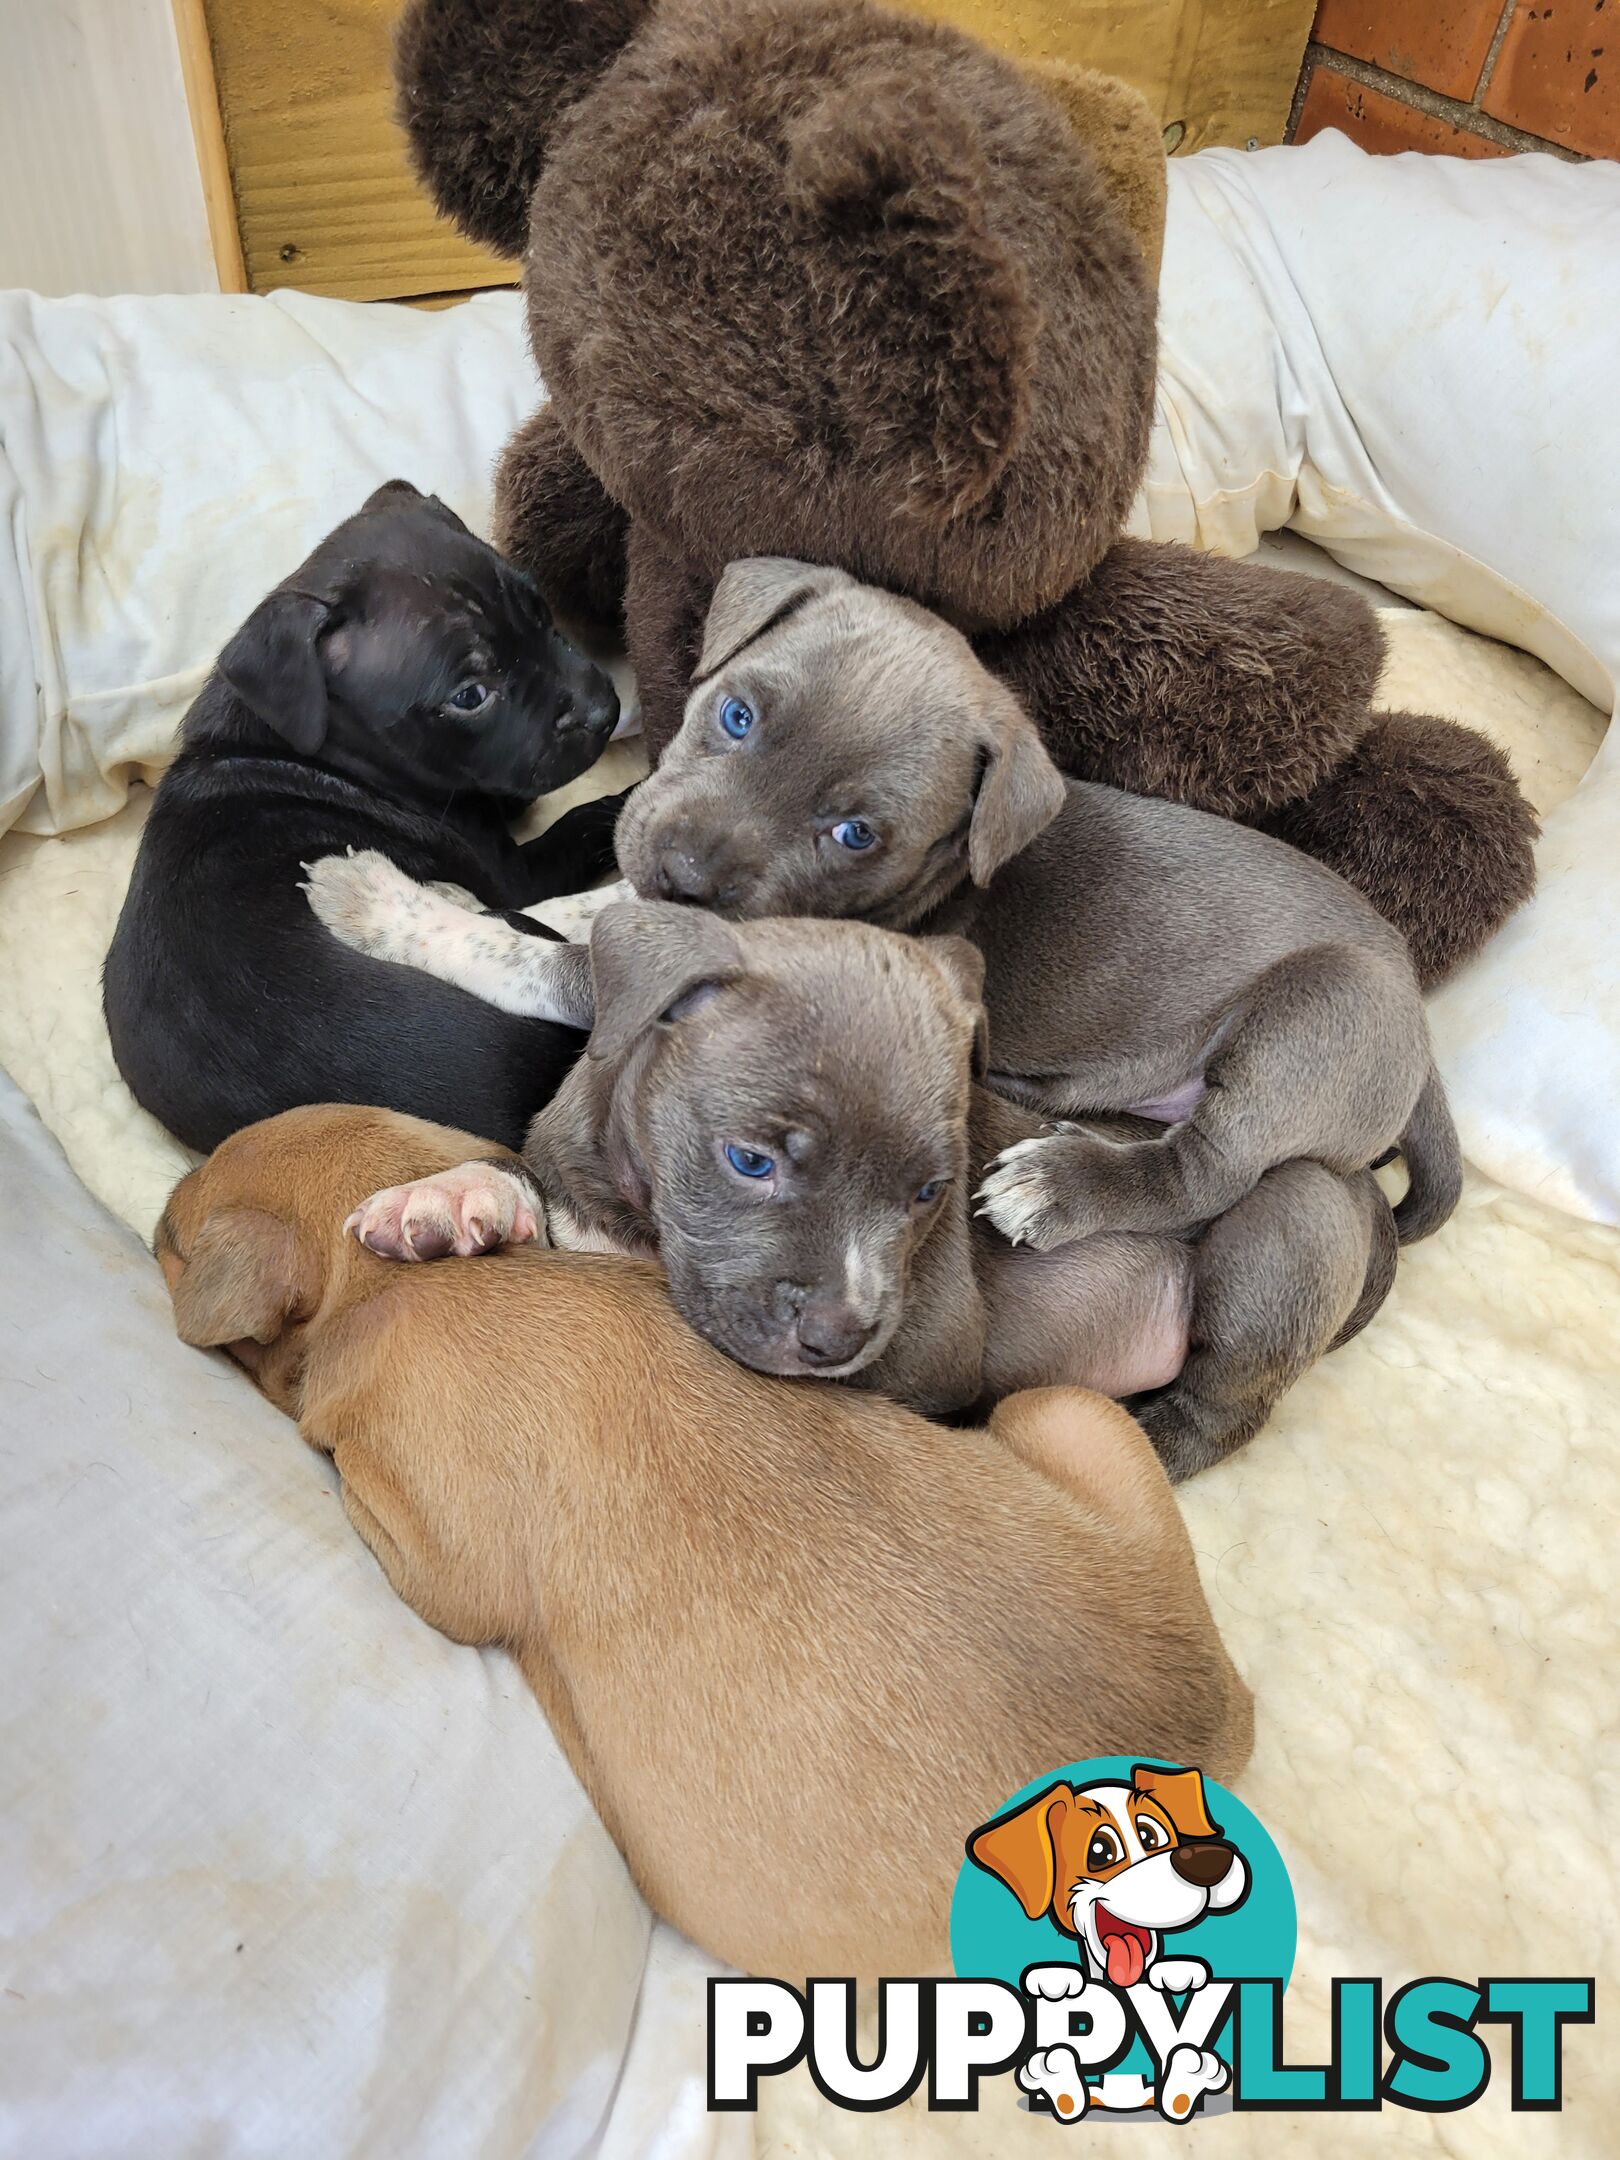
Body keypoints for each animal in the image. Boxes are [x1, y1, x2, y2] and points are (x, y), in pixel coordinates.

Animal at [158, 1105, 1252, 1978]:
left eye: (169, 1238)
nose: (165, 1194)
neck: (386, 1291)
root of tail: (1221, 1732)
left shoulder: (437, 1555)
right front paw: (455, 1204)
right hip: (1067, 1414)